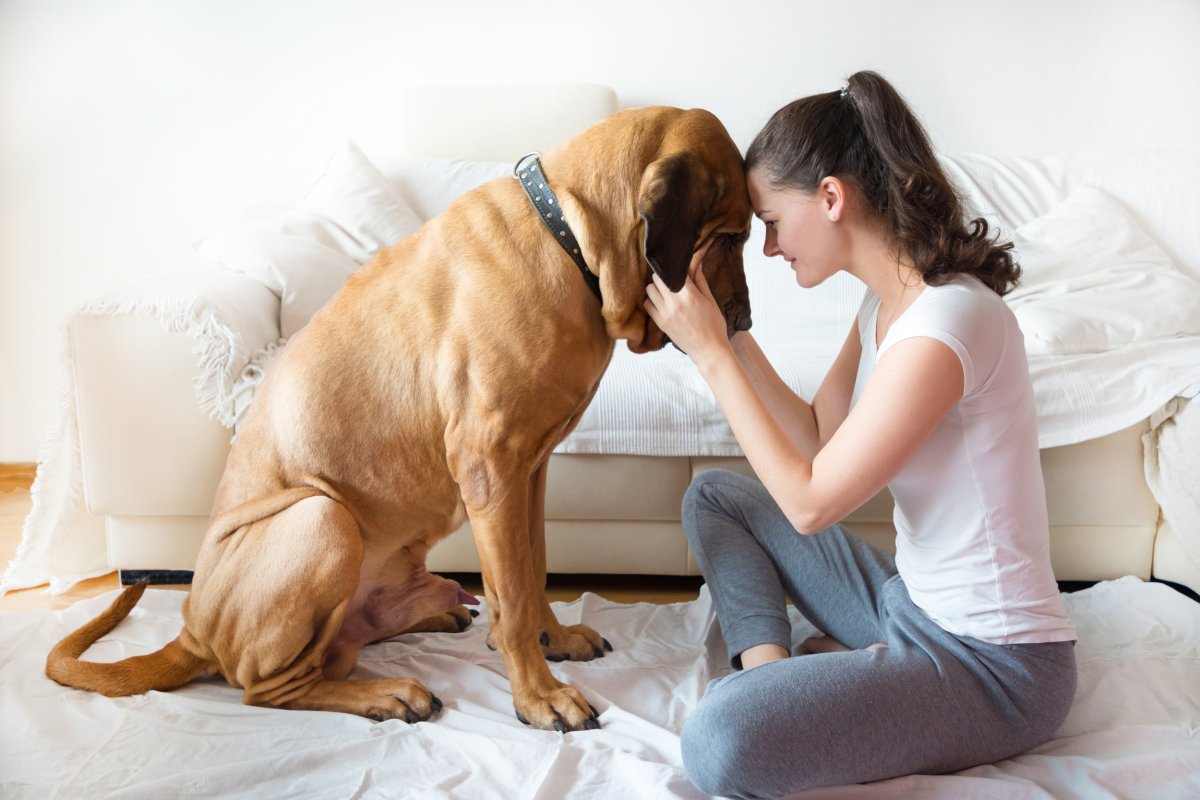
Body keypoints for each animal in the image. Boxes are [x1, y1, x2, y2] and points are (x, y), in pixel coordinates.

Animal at [51, 106, 753, 734]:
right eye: (732, 238)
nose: (744, 321)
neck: (567, 237)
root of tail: (192, 630)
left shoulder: (529, 471)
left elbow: (533, 570)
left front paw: (551, 641)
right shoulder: (492, 467)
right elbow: (515, 596)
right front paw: (539, 697)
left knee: (343, 647)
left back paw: (434, 618)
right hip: (322, 518)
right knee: (269, 688)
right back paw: (384, 694)